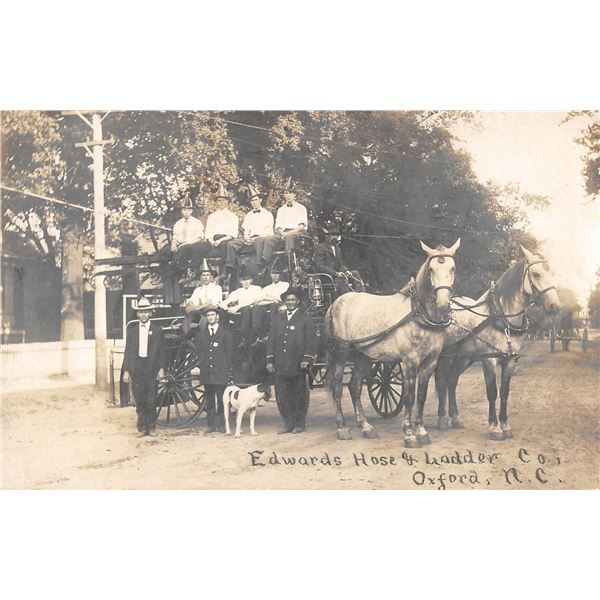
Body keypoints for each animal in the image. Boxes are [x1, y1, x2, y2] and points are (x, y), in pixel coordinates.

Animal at [324, 238, 460, 446]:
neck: (418, 313)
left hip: (362, 355)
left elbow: (421, 396)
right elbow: (409, 397)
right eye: (431, 269)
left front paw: (421, 431)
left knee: (354, 386)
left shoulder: (430, 361)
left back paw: (366, 427)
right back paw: (342, 428)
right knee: (338, 387)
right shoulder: (409, 362)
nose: (443, 304)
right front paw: (409, 433)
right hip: (341, 352)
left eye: (453, 268)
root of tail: (335, 303)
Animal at [434, 246, 560, 438]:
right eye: (536, 274)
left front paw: (505, 425)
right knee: (442, 382)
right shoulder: (489, 360)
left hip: (463, 357)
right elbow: (492, 392)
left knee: (452, 380)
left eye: (552, 273)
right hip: (444, 356)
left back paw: (455, 418)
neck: (501, 317)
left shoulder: (510, 360)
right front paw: (494, 427)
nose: (555, 306)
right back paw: (442, 419)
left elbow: (505, 392)